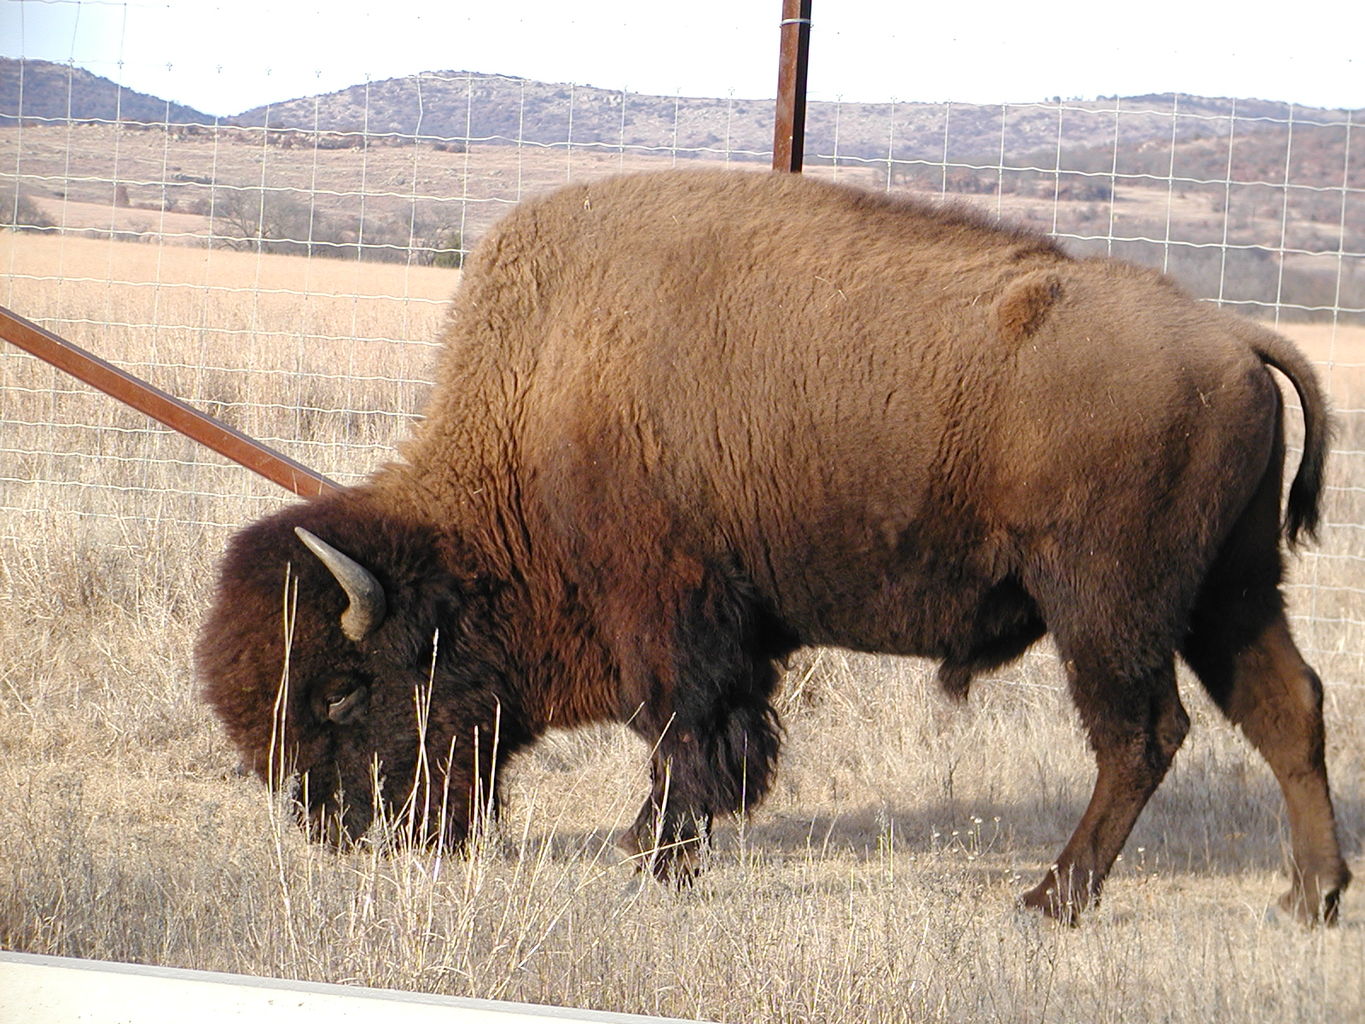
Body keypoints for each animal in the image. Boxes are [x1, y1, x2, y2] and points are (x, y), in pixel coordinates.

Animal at [199, 166, 1354, 922]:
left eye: (339, 692)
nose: (345, 834)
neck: (549, 397)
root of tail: (1233, 336)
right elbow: (709, 739)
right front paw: (655, 848)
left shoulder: (672, 615)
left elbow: (685, 736)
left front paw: (654, 859)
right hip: (1230, 591)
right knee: (1286, 708)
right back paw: (1309, 896)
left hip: (1108, 607)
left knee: (1142, 736)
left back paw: (1052, 897)